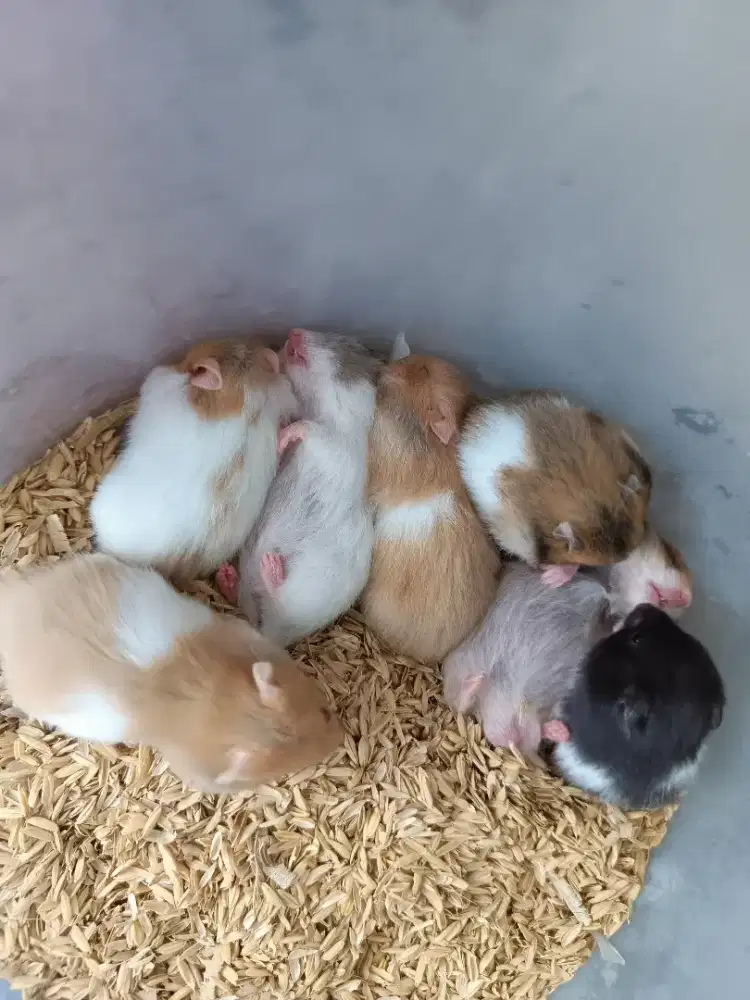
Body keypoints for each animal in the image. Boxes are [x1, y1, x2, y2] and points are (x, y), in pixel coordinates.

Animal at [216, 329, 378, 647]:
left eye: (342, 344)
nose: (294, 333)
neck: (318, 407)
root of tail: (276, 639)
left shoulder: (340, 448)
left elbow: (312, 430)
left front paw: (285, 435)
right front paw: (280, 439)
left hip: (314, 584)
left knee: (281, 602)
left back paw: (272, 569)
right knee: (251, 607)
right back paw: (228, 577)